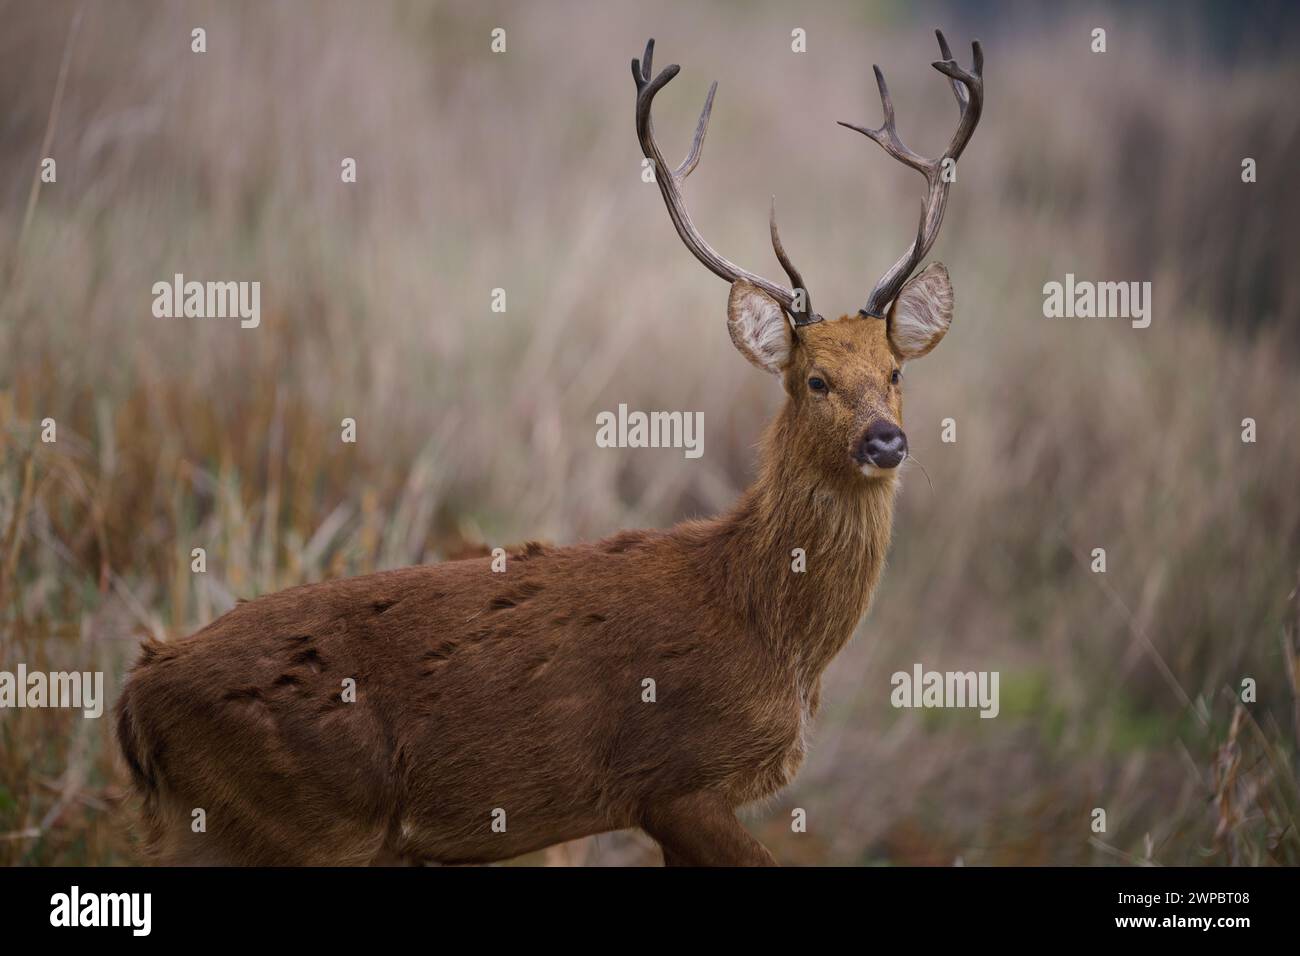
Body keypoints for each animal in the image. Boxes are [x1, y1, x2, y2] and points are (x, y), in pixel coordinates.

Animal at [114, 31, 982, 868]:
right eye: (814, 380)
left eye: (896, 372)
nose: (887, 439)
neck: (769, 627)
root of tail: (133, 699)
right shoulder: (674, 780)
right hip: (306, 822)